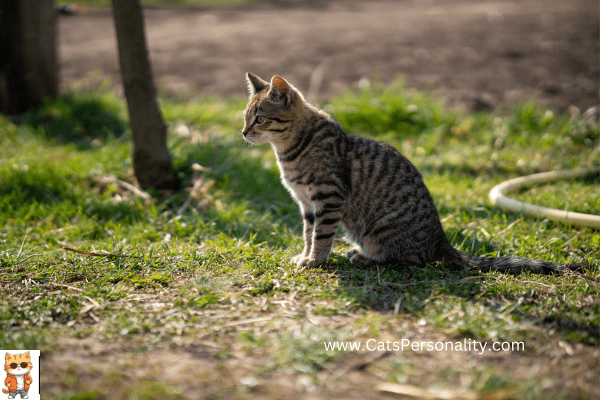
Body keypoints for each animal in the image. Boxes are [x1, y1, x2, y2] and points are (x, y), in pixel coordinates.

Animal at [241, 72, 588, 274]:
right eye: (245, 117)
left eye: (260, 118)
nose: (243, 133)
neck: (289, 151)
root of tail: (441, 239)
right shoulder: (307, 204)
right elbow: (308, 233)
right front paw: (305, 255)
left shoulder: (328, 197)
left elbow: (322, 235)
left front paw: (315, 260)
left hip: (380, 228)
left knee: (410, 259)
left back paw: (365, 256)